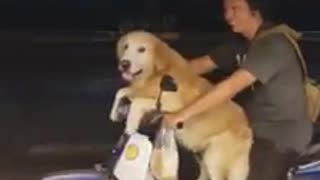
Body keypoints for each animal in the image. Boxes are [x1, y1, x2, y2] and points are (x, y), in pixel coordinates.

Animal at [109, 31, 252, 180]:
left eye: (142, 49)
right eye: (126, 46)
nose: (124, 64)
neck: (158, 73)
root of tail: (247, 128)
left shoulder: (173, 102)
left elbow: (137, 102)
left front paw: (131, 124)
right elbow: (122, 92)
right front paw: (114, 114)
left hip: (214, 160)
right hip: (202, 156)